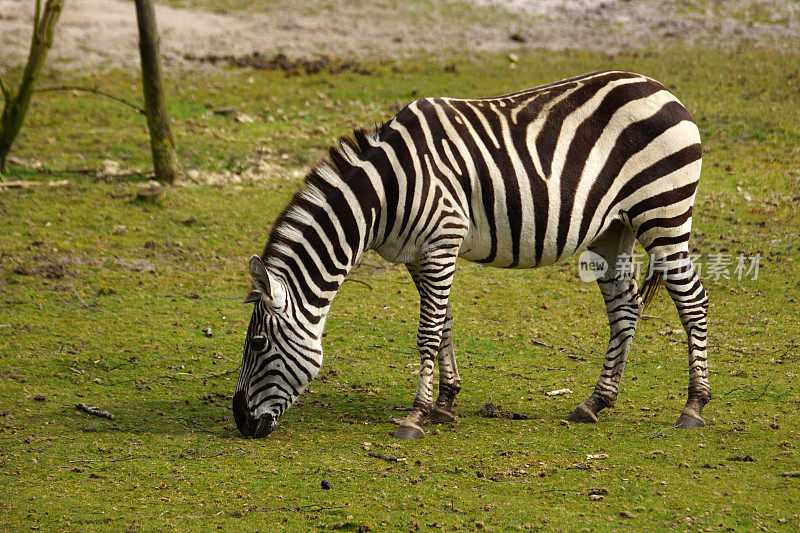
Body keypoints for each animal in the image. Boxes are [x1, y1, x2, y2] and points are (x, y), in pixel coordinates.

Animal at [234, 68, 708, 438]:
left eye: (257, 342)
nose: (240, 421)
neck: (385, 192)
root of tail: (661, 88)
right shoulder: (418, 254)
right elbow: (442, 323)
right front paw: (444, 402)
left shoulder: (443, 239)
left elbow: (427, 331)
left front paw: (415, 416)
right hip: (614, 228)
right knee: (625, 306)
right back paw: (597, 402)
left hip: (663, 212)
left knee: (692, 300)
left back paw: (693, 405)